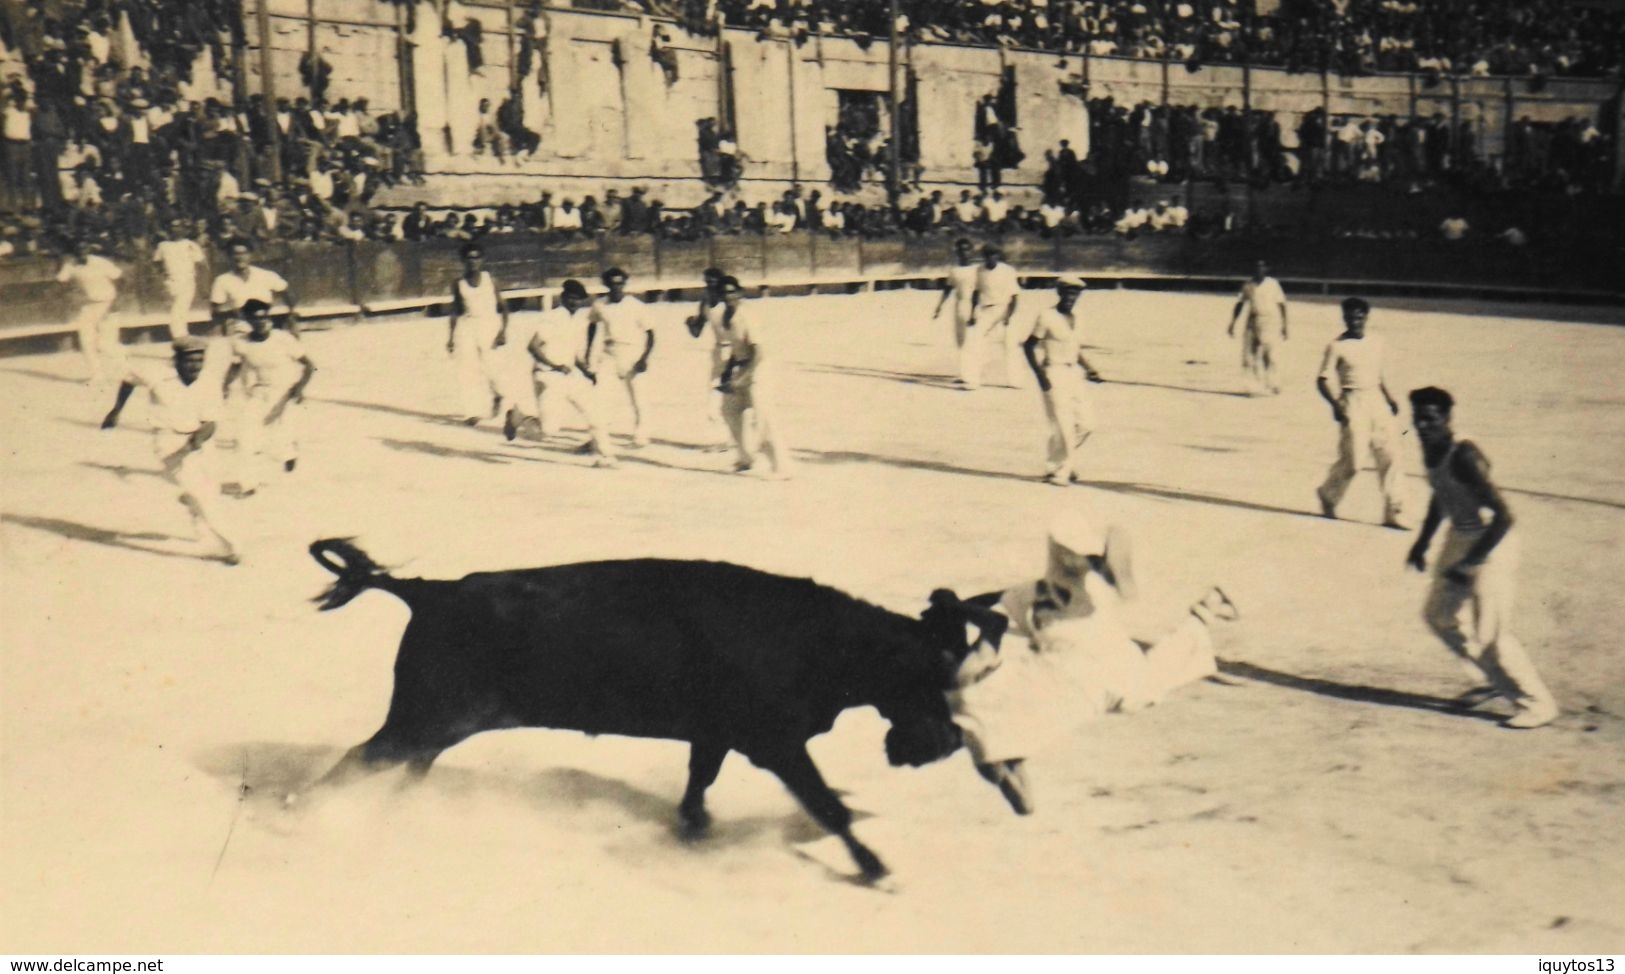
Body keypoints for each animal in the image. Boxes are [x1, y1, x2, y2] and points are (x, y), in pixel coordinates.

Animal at [307, 539, 1001, 884]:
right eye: (935, 673)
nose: (945, 744)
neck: (822, 639)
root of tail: (428, 593)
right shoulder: (775, 743)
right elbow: (828, 805)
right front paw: (877, 868)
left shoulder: (716, 735)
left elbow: (700, 782)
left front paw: (693, 829)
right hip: (422, 720)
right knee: (356, 761)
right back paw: (300, 818)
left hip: (435, 727)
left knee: (403, 770)